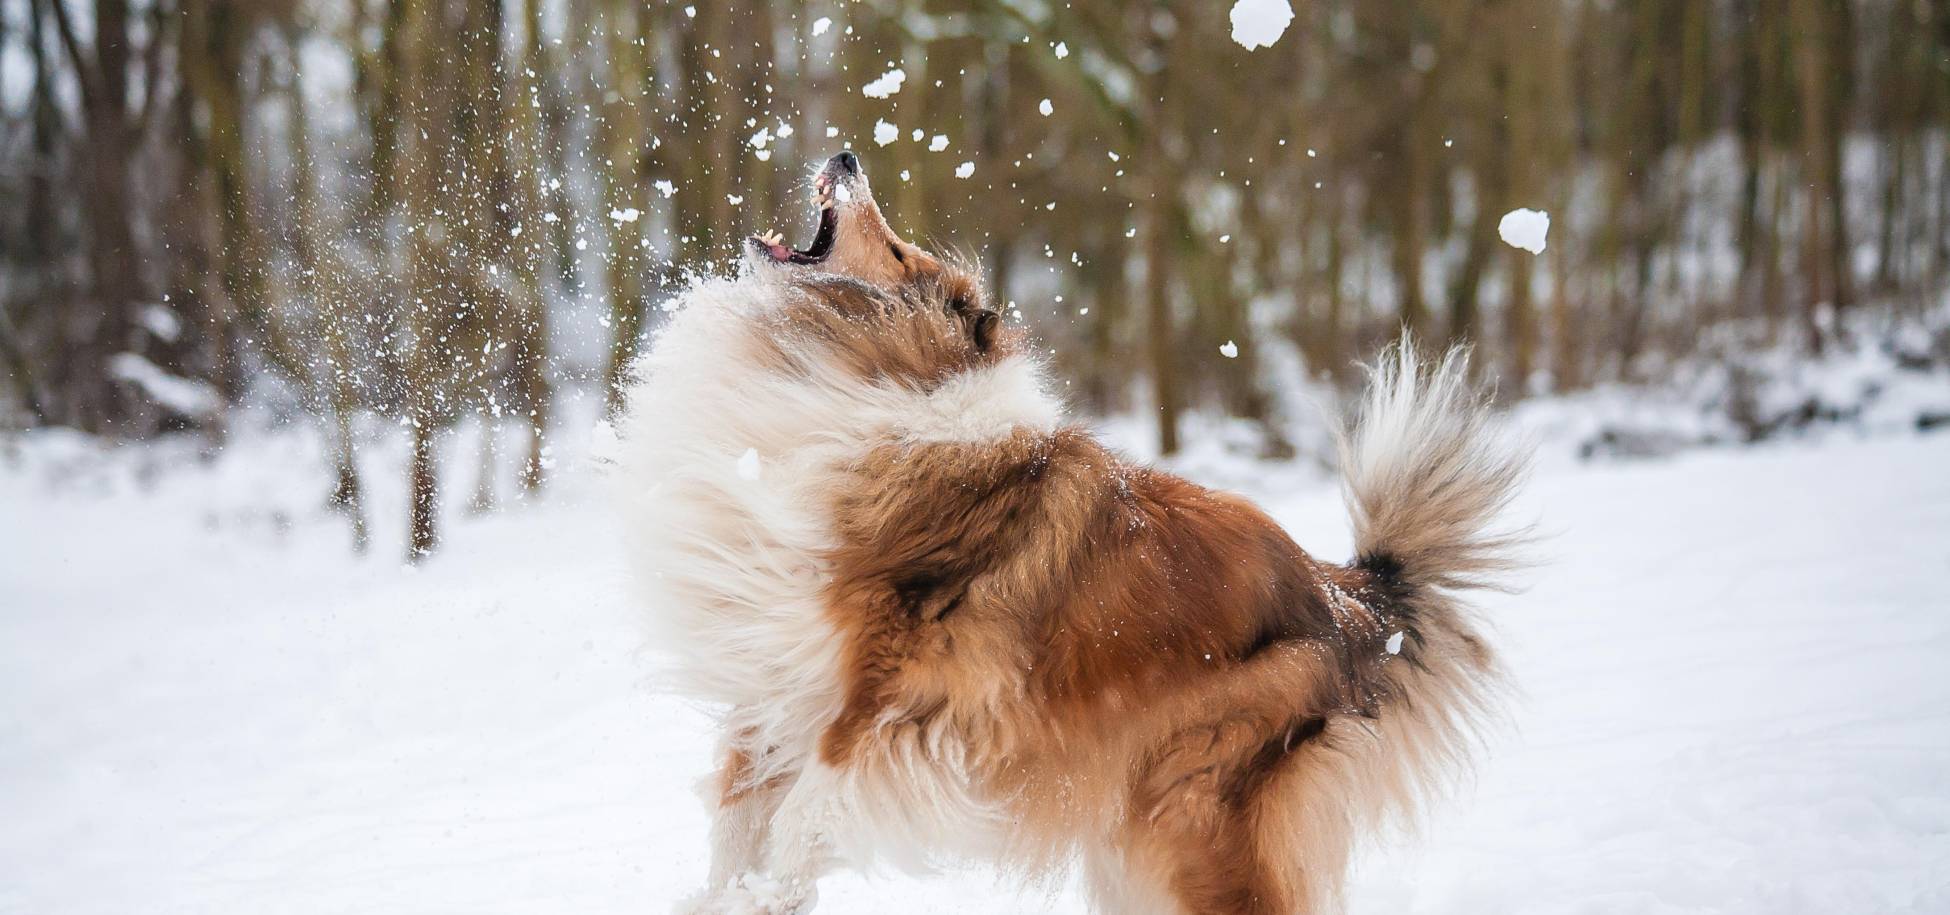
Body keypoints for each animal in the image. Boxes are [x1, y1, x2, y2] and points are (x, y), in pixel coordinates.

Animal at [608, 153, 1521, 909]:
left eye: (898, 252)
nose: (847, 154)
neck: (884, 379)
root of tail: (1347, 596)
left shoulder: (882, 704)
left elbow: (800, 818)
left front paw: (760, 897)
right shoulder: (774, 684)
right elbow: (739, 819)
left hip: (1190, 813)